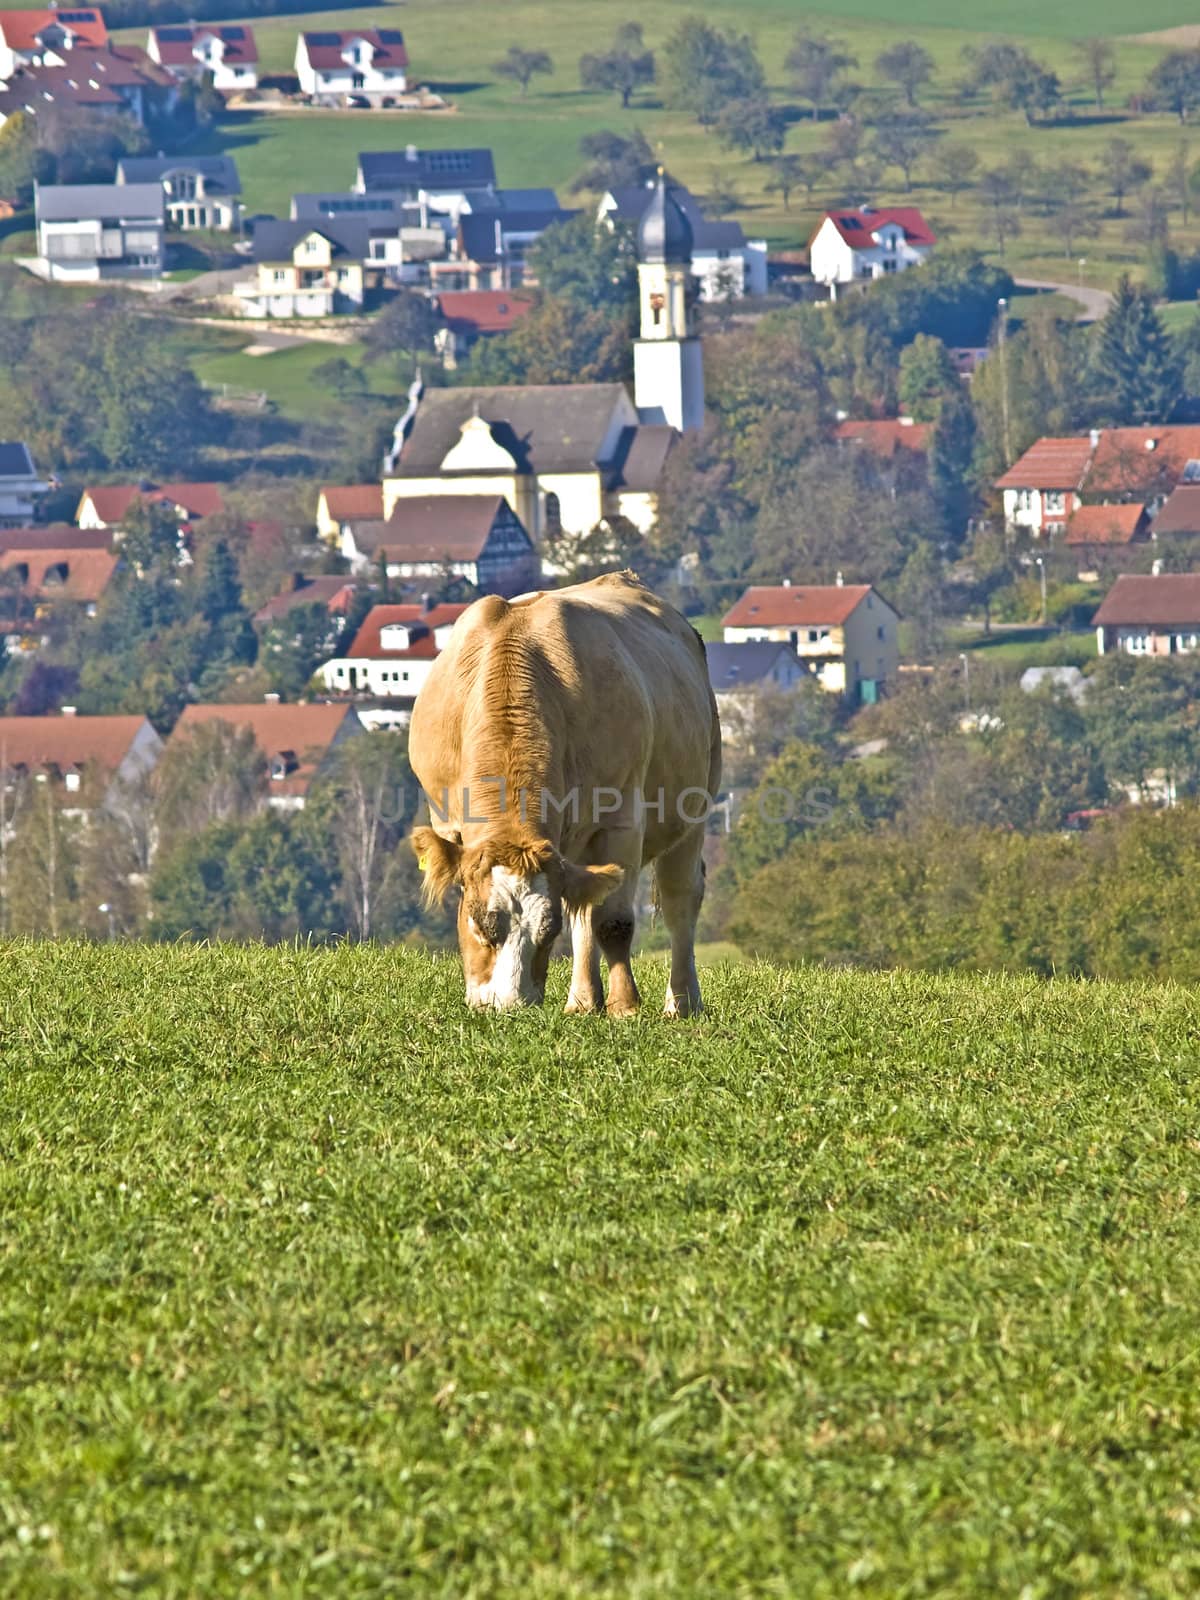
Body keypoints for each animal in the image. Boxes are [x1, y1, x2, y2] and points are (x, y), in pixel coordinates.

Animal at [412, 572, 723, 1011]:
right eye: (483, 926)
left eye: (547, 932)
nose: (510, 1006)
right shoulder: (446, 820)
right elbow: (585, 916)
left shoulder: (621, 823)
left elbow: (613, 922)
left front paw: (625, 1006)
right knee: (585, 909)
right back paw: (582, 1001)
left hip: (693, 805)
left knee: (681, 898)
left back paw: (681, 1002)